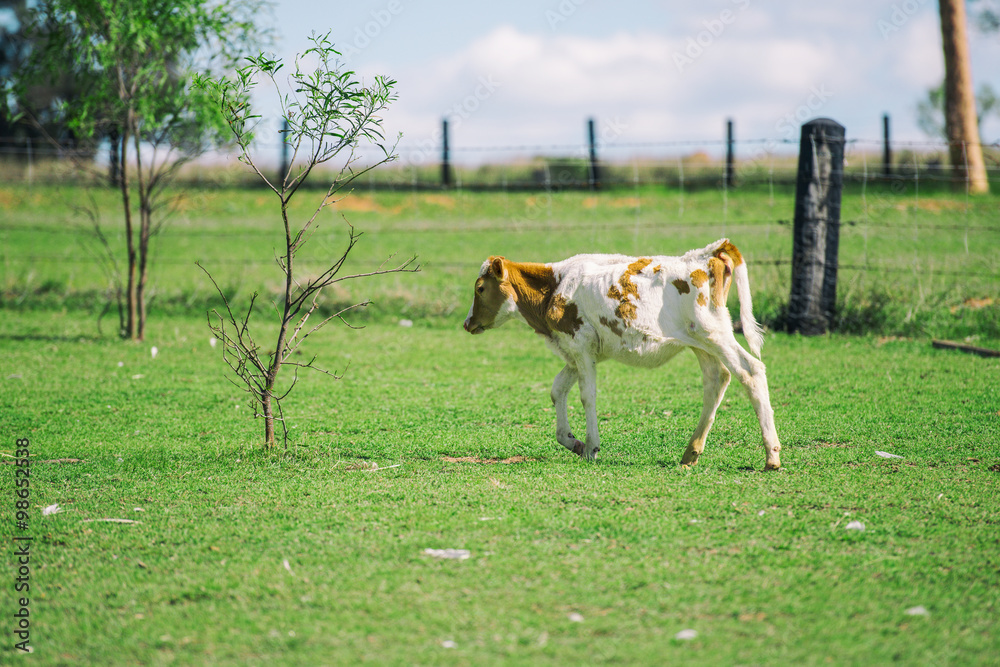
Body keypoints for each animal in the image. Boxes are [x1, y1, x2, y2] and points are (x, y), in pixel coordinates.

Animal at [464, 239, 784, 470]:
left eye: (480, 288)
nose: (467, 323)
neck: (553, 288)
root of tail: (708, 253)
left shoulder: (580, 345)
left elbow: (587, 395)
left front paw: (590, 447)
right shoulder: (576, 352)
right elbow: (557, 390)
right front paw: (572, 441)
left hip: (714, 332)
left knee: (751, 370)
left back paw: (772, 456)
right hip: (699, 342)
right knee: (717, 378)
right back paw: (691, 452)